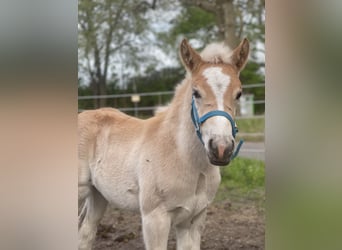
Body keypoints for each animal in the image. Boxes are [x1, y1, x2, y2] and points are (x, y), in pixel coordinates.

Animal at [79, 38, 250, 249]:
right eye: (196, 92)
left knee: (85, 232)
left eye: (239, 94)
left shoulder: (193, 220)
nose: (220, 148)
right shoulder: (155, 219)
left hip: (98, 195)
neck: (183, 157)